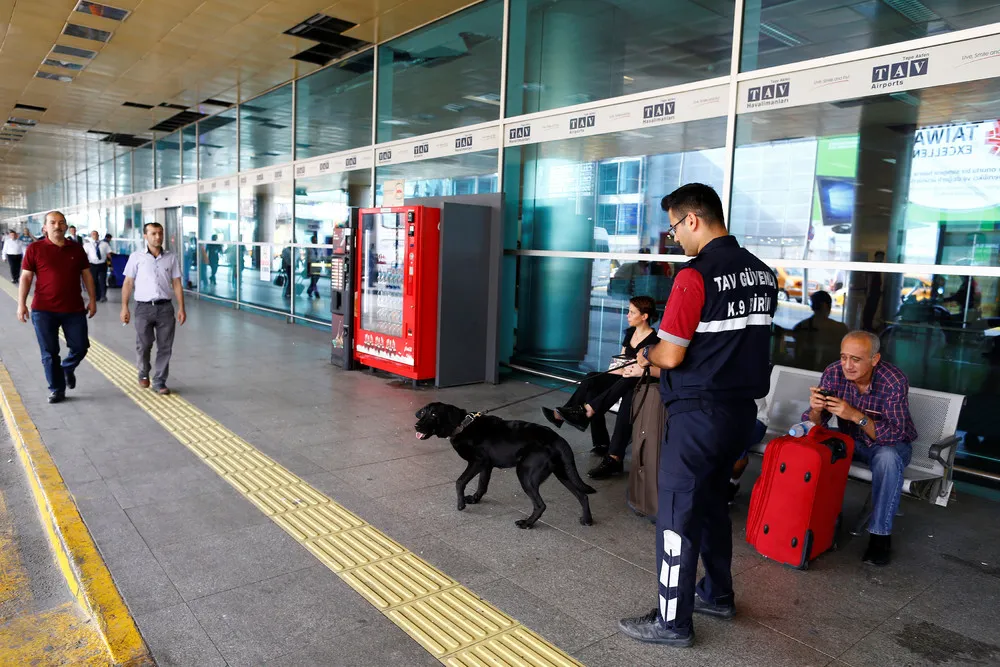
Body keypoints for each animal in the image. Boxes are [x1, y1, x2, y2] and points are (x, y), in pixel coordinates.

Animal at [412, 402, 592, 532]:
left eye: (434, 414)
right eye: (423, 413)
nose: (416, 426)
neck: (463, 424)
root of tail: (557, 438)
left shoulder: (477, 462)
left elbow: (459, 481)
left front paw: (461, 504)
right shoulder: (486, 465)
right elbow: (482, 484)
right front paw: (475, 499)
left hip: (526, 474)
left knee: (541, 505)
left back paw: (527, 523)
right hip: (563, 473)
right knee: (582, 495)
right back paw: (587, 520)